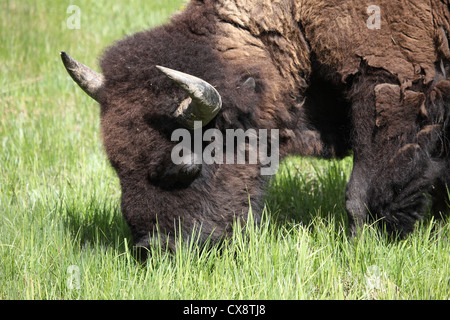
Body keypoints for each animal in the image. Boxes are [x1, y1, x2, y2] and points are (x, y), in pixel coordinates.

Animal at [60, 0, 450, 256]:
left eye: (185, 165)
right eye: (117, 167)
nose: (152, 250)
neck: (294, 21)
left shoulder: (388, 85)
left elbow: (362, 192)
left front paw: (358, 249)